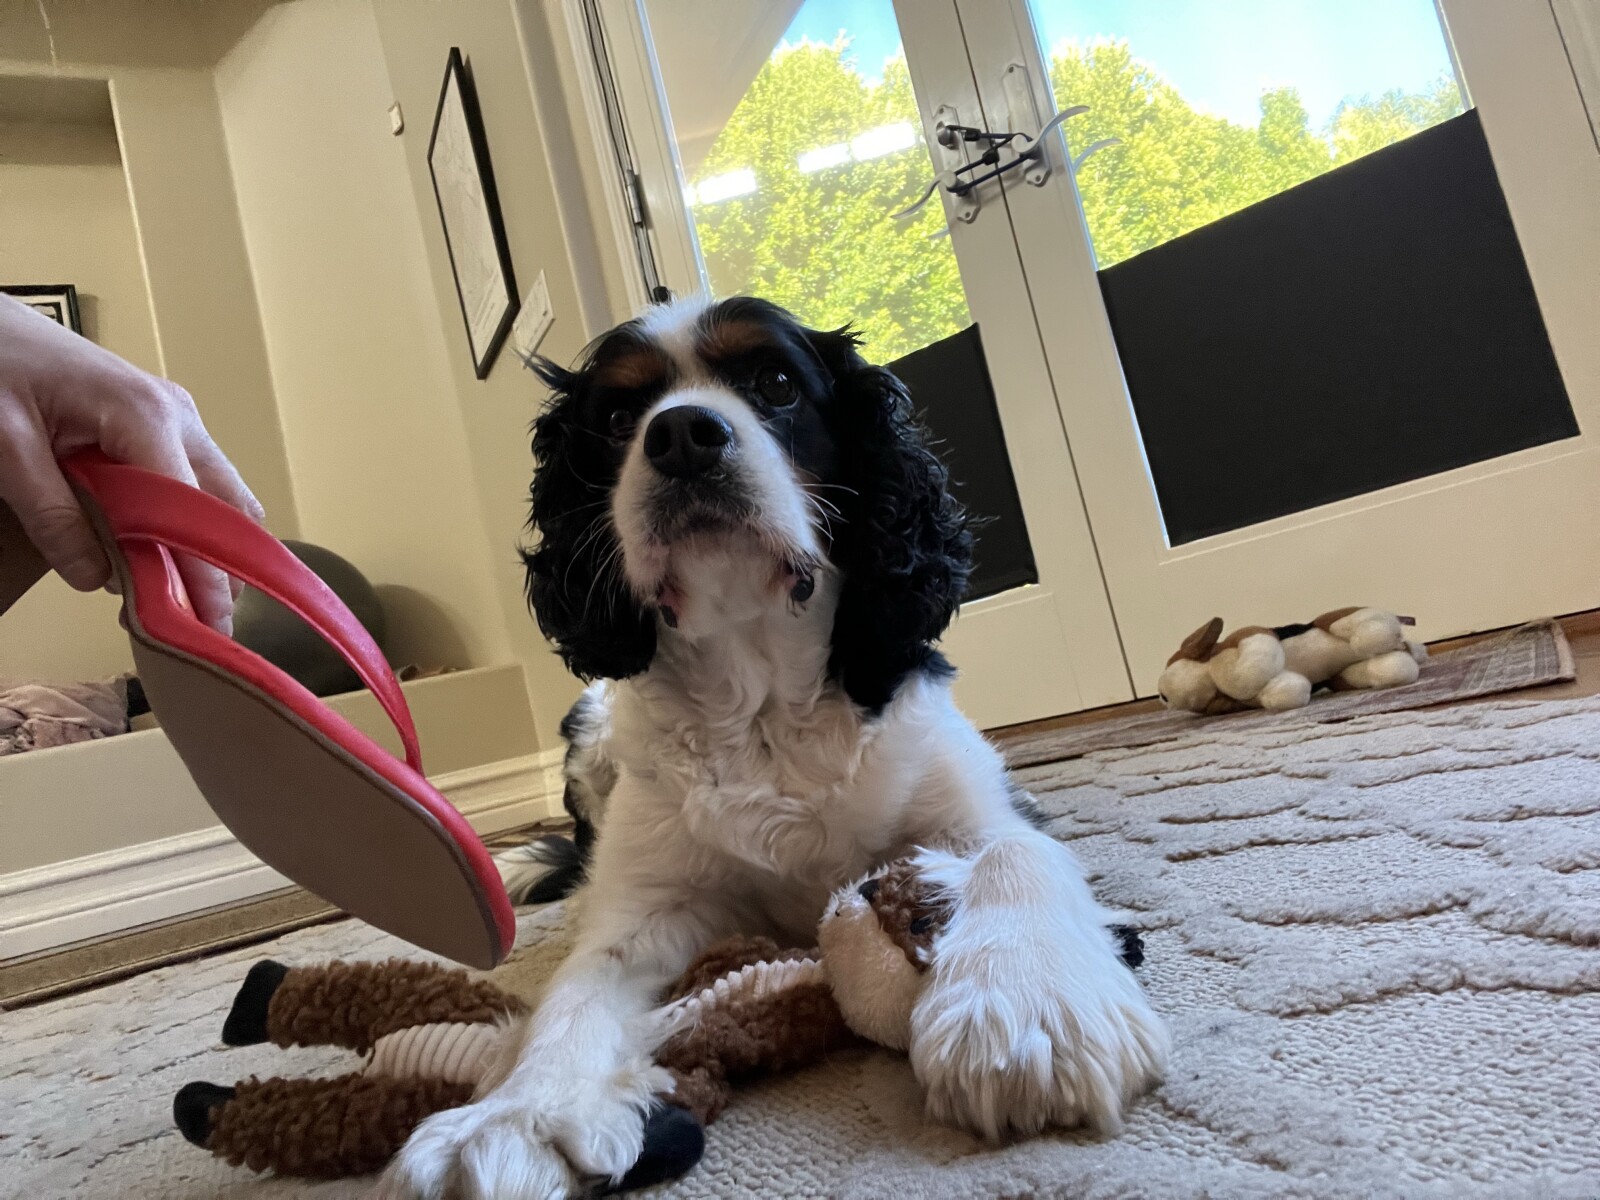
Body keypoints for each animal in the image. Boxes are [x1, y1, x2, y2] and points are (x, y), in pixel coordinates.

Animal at [379, 296, 1167, 1199]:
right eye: (615, 418)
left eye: (777, 382)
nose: (683, 435)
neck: (760, 698)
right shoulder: (652, 902)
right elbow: (578, 987)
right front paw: (518, 1116)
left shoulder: (980, 806)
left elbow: (1014, 856)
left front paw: (1027, 1009)